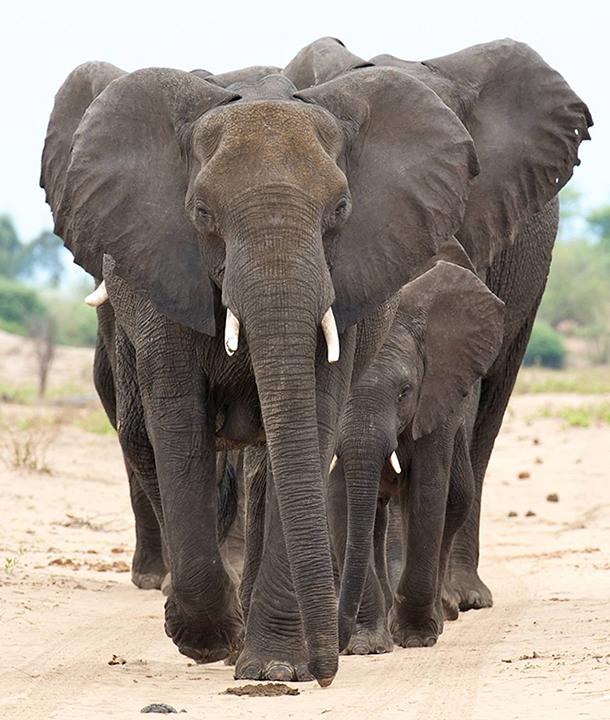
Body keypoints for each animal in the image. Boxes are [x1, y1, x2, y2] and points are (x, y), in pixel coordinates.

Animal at [40, 36, 589, 685]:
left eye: (341, 210)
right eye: (200, 213)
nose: (329, 669)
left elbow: (319, 418)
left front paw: (275, 667)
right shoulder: (161, 269)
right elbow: (175, 421)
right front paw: (210, 640)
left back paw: (453, 600)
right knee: (151, 438)